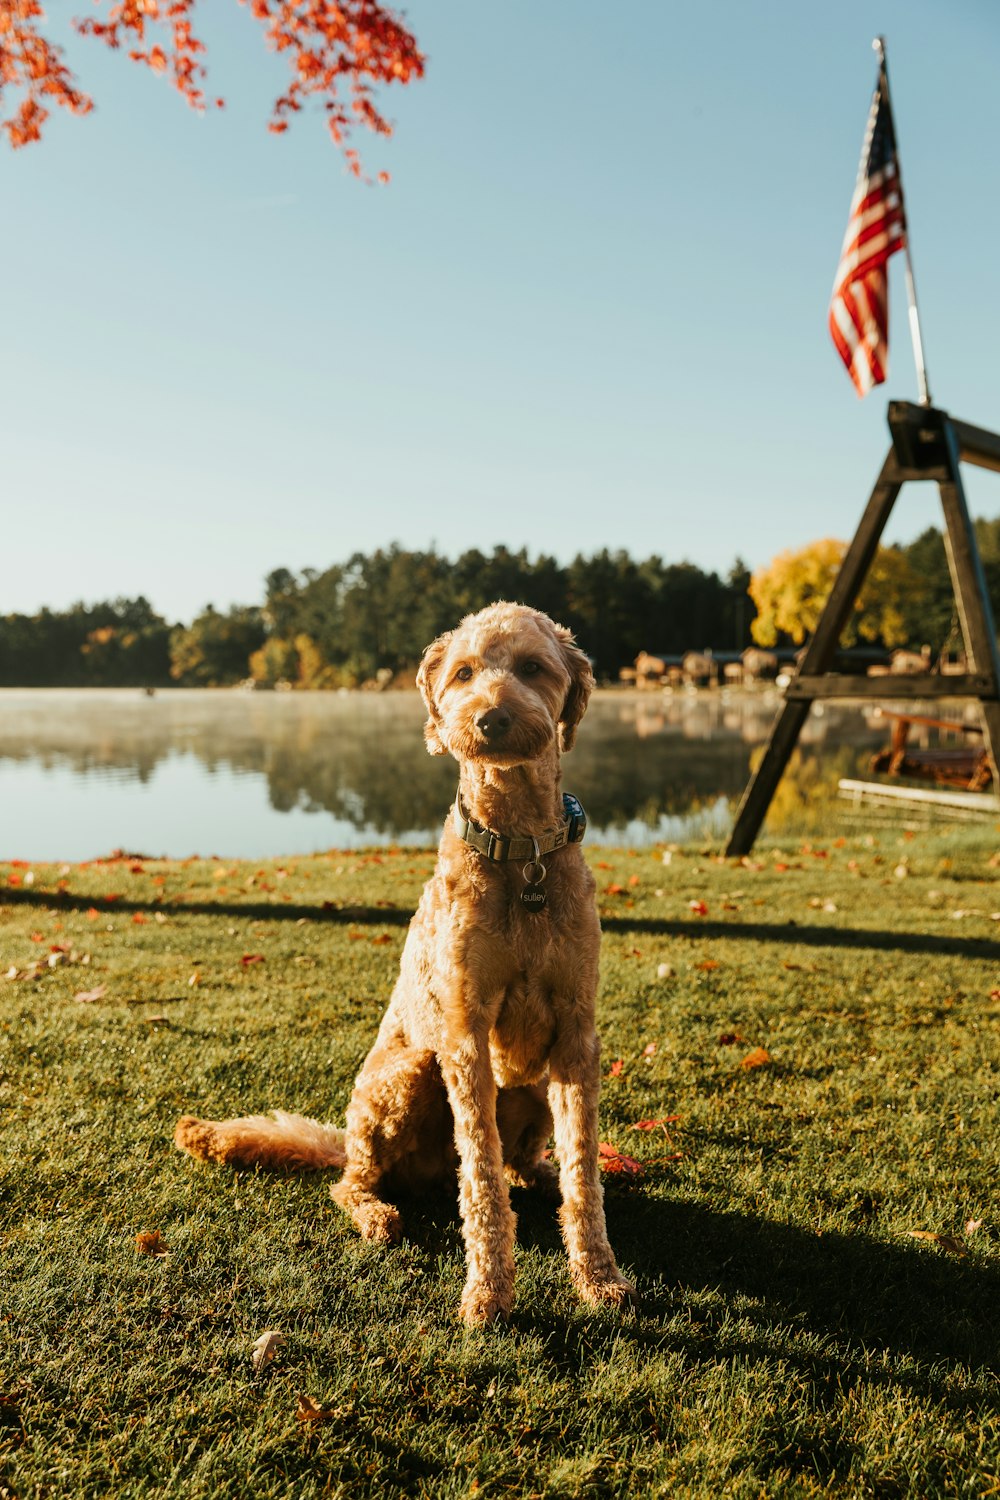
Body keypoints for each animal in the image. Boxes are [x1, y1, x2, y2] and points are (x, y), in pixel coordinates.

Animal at [176, 600, 632, 1326]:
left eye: (534, 668)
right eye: (464, 673)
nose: (490, 718)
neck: (519, 855)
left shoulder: (576, 1033)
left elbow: (582, 1170)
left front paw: (598, 1275)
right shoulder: (466, 1038)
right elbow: (481, 1177)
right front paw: (488, 1291)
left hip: (531, 1081)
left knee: (524, 1161)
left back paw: (539, 1174)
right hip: (411, 1071)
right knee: (356, 1180)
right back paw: (376, 1212)